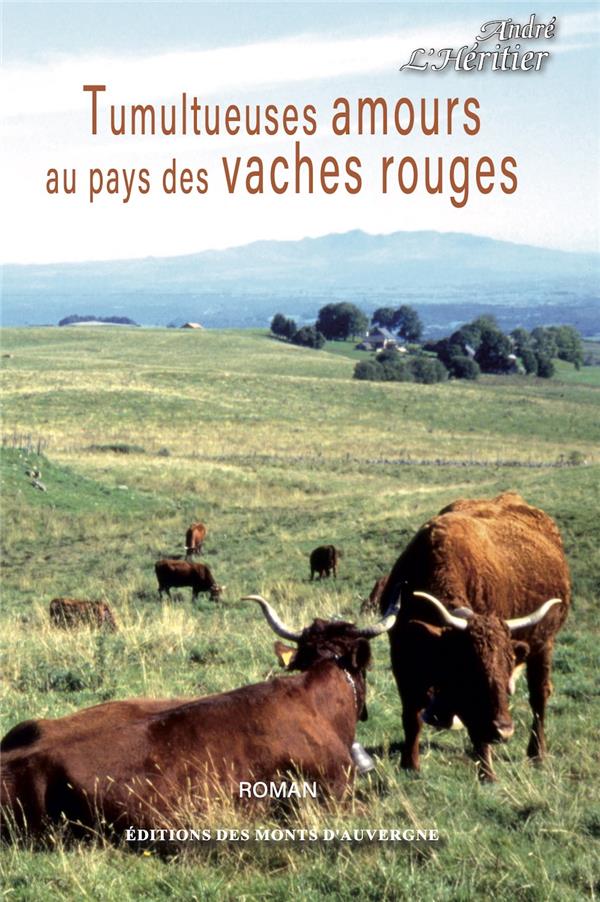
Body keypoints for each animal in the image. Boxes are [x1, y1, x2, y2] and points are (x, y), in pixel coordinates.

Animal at [378, 492, 570, 780]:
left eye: (505, 666)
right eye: (471, 668)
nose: (504, 730)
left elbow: (478, 730)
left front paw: (487, 774)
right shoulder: (402, 661)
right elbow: (411, 716)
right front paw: (409, 765)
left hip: (543, 645)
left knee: (539, 697)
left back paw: (536, 753)